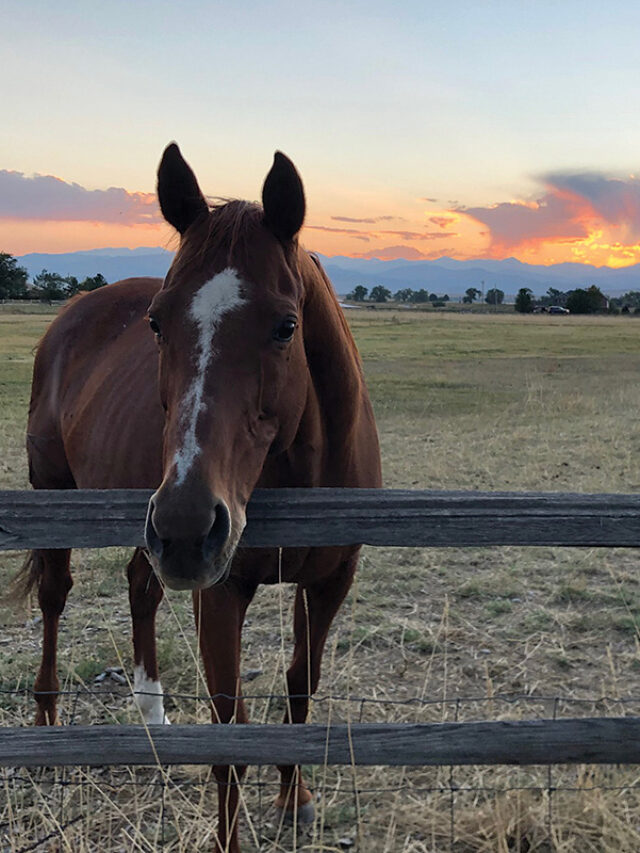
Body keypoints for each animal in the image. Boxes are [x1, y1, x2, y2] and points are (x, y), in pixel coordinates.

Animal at [23, 143, 380, 848]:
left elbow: (300, 686)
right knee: (54, 596)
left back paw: (153, 716)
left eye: (286, 325)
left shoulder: (328, 582)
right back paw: (49, 726)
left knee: (142, 586)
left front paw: (294, 798)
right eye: (157, 323)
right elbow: (230, 730)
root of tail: (72, 313)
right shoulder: (221, 590)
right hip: (62, 495)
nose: (189, 526)